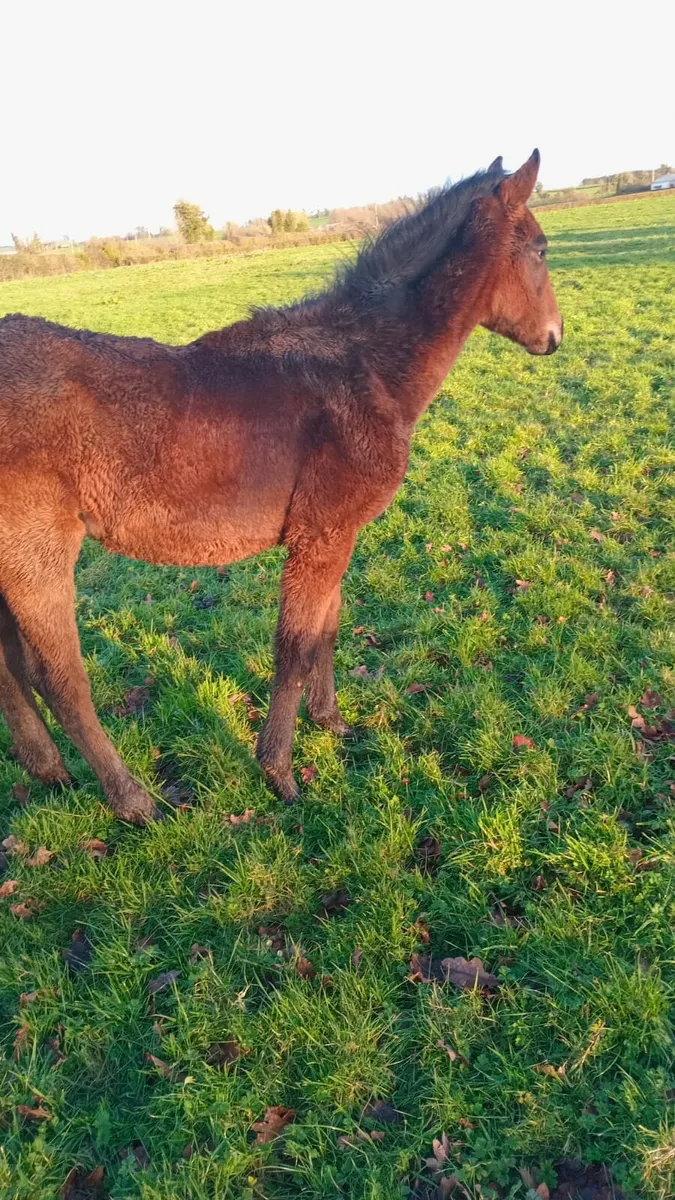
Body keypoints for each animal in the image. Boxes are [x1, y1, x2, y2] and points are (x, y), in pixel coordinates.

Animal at [0, 150, 562, 823]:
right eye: (540, 249)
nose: (555, 336)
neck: (362, 368)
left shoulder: (338, 535)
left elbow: (327, 627)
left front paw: (332, 722)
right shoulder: (321, 535)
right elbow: (294, 646)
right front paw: (279, 772)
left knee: (9, 667)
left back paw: (50, 772)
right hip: (36, 555)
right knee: (59, 679)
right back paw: (134, 800)